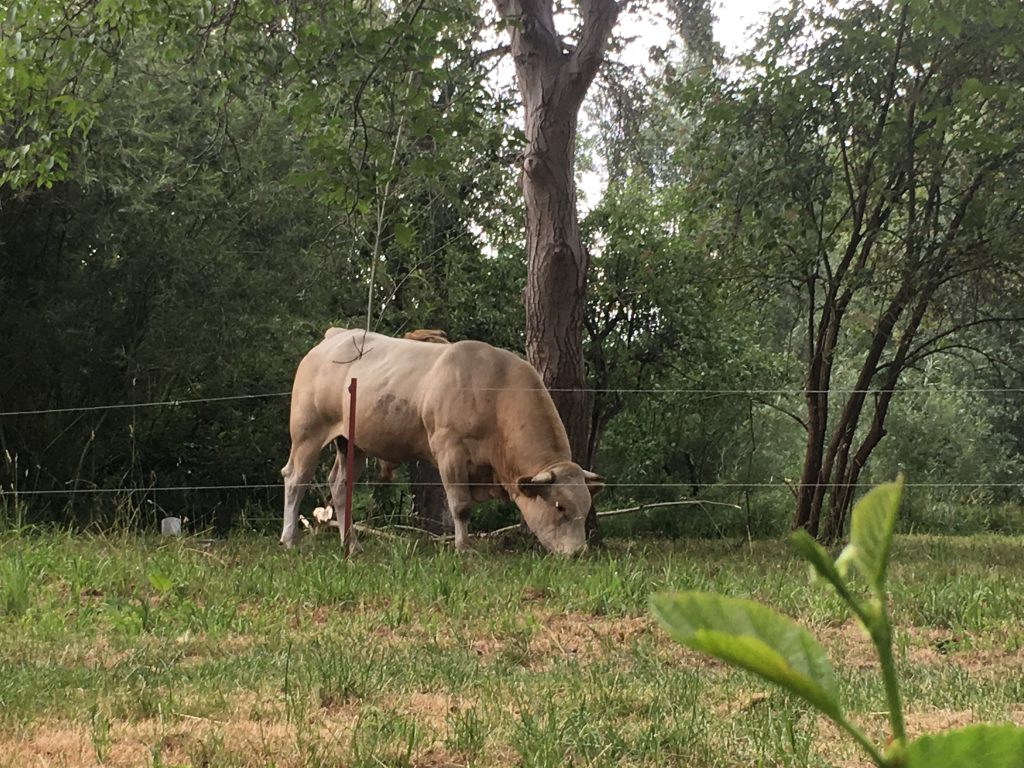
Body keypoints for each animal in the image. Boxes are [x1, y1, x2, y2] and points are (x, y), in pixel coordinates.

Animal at [276, 327, 602, 557]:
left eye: (586, 507)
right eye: (560, 507)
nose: (578, 553)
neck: (495, 391)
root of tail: (337, 335)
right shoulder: (449, 450)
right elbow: (460, 505)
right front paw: (463, 550)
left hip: (351, 443)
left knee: (340, 485)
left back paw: (352, 546)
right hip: (307, 432)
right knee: (295, 479)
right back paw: (289, 539)